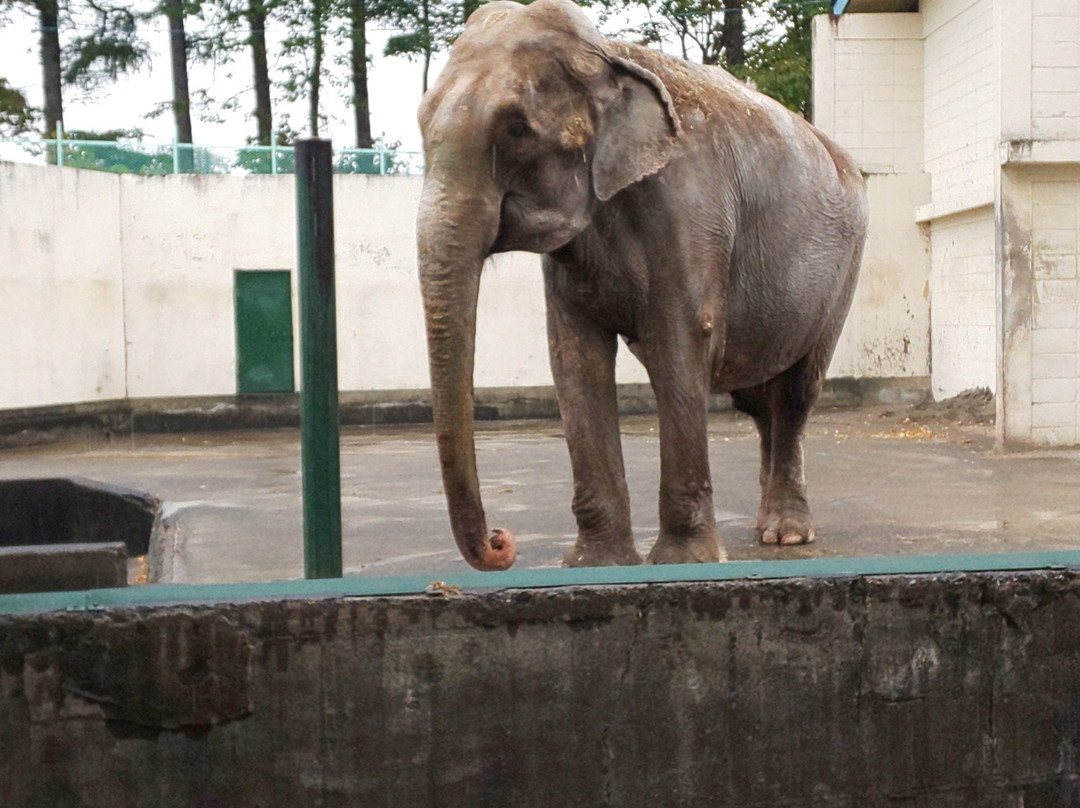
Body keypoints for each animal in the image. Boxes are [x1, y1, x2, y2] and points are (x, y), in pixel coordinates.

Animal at [414, 0, 868, 566]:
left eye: (516, 129)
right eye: (421, 123)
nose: (502, 541)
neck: (608, 54)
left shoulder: (690, 210)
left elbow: (680, 344)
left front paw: (684, 563)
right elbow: (574, 359)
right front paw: (595, 565)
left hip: (844, 268)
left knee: (796, 390)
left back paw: (787, 534)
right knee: (759, 400)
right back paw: (766, 527)